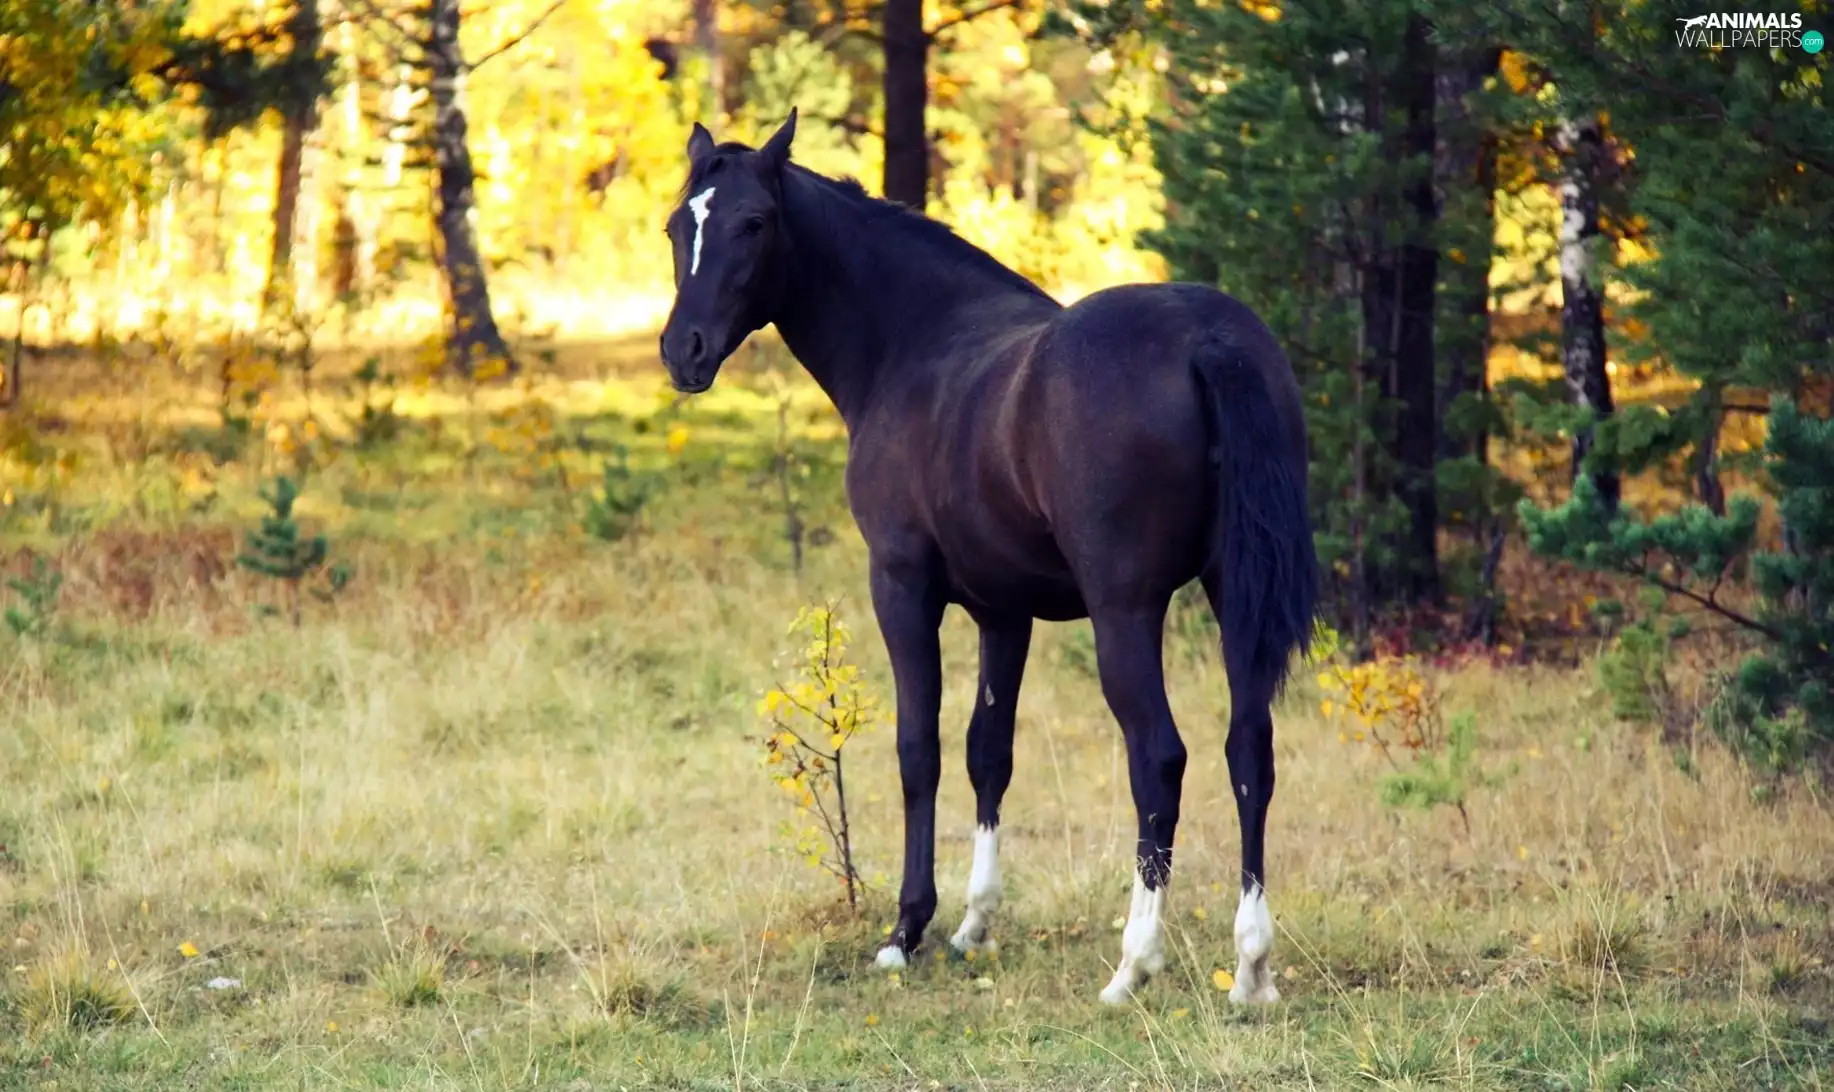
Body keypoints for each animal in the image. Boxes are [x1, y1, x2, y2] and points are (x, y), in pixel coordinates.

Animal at [657, 109, 1318, 1006]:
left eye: (753, 223)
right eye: (676, 226)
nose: (683, 351)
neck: (914, 345)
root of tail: (1210, 339)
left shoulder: (902, 588)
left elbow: (920, 750)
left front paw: (907, 930)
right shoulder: (1005, 611)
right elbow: (988, 753)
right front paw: (974, 925)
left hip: (1126, 612)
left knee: (1159, 758)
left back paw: (1132, 964)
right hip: (1231, 596)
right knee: (1250, 748)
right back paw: (1250, 968)